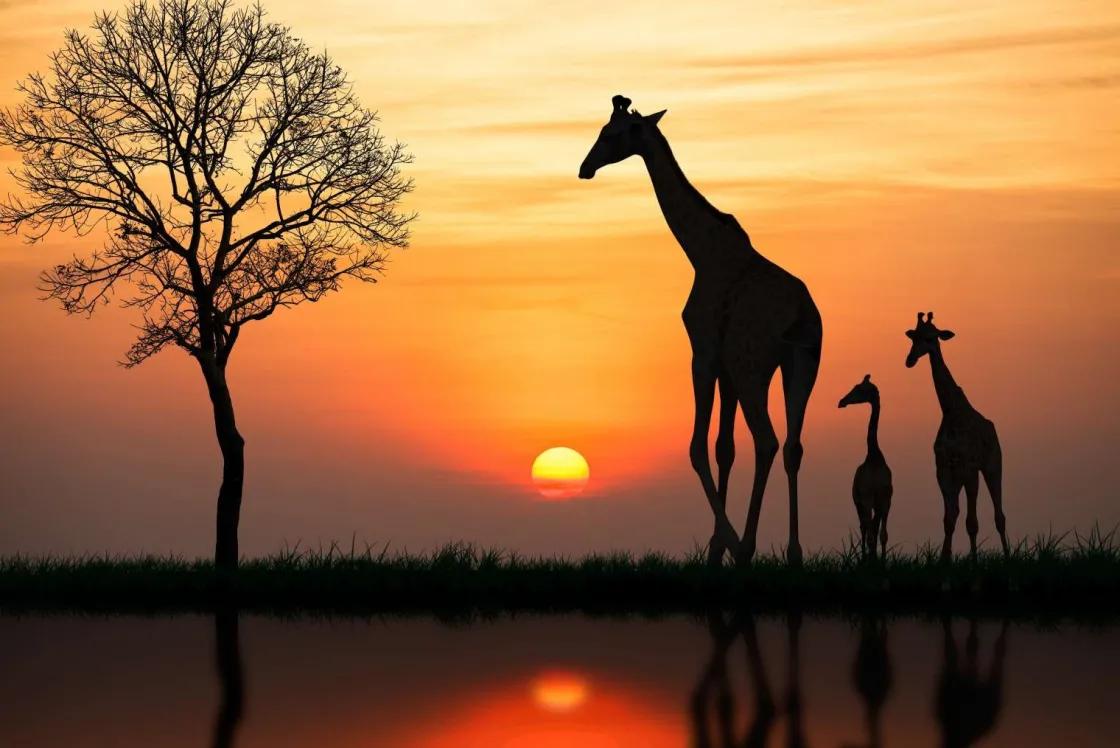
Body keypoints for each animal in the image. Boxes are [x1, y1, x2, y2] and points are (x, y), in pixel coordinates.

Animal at [579, 94, 824, 566]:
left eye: (611, 134)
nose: (585, 167)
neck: (701, 251)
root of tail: (801, 313)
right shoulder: (726, 367)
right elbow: (724, 447)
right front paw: (715, 549)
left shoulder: (705, 352)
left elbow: (697, 446)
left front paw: (726, 542)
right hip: (801, 366)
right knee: (793, 445)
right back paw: (793, 552)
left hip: (753, 368)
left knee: (767, 440)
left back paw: (747, 546)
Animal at [838, 374, 893, 561]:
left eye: (859, 389)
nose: (841, 402)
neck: (874, 457)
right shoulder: (866, 498)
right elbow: (870, 534)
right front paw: (870, 561)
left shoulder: (886, 500)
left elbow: (883, 535)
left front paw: (881, 561)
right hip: (858, 503)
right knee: (863, 528)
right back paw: (863, 558)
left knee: (872, 528)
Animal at [904, 312, 1010, 561]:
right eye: (913, 337)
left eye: (931, 337)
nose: (910, 360)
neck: (950, 410)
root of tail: (992, 428)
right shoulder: (943, 469)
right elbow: (949, 517)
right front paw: (945, 559)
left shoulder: (968, 467)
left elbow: (971, 521)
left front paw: (973, 561)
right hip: (963, 476)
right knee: (962, 512)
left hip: (992, 465)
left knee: (998, 515)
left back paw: (1007, 555)